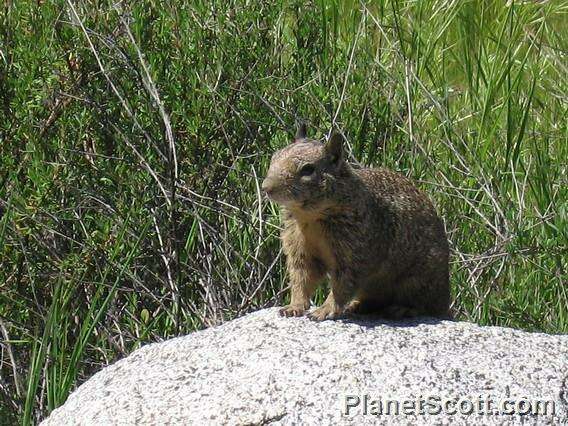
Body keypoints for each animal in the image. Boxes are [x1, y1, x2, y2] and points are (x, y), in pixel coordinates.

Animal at [262, 123, 452, 320]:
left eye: (308, 169)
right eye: (274, 157)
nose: (266, 187)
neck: (310, 217)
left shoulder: (353, 253)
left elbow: (341, 286)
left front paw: (324, 310)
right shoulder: (299, 248)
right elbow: (301, 279)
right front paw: (294, 306)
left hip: (419, 281)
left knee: (426, 306)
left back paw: (403, 309)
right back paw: (356, 306)